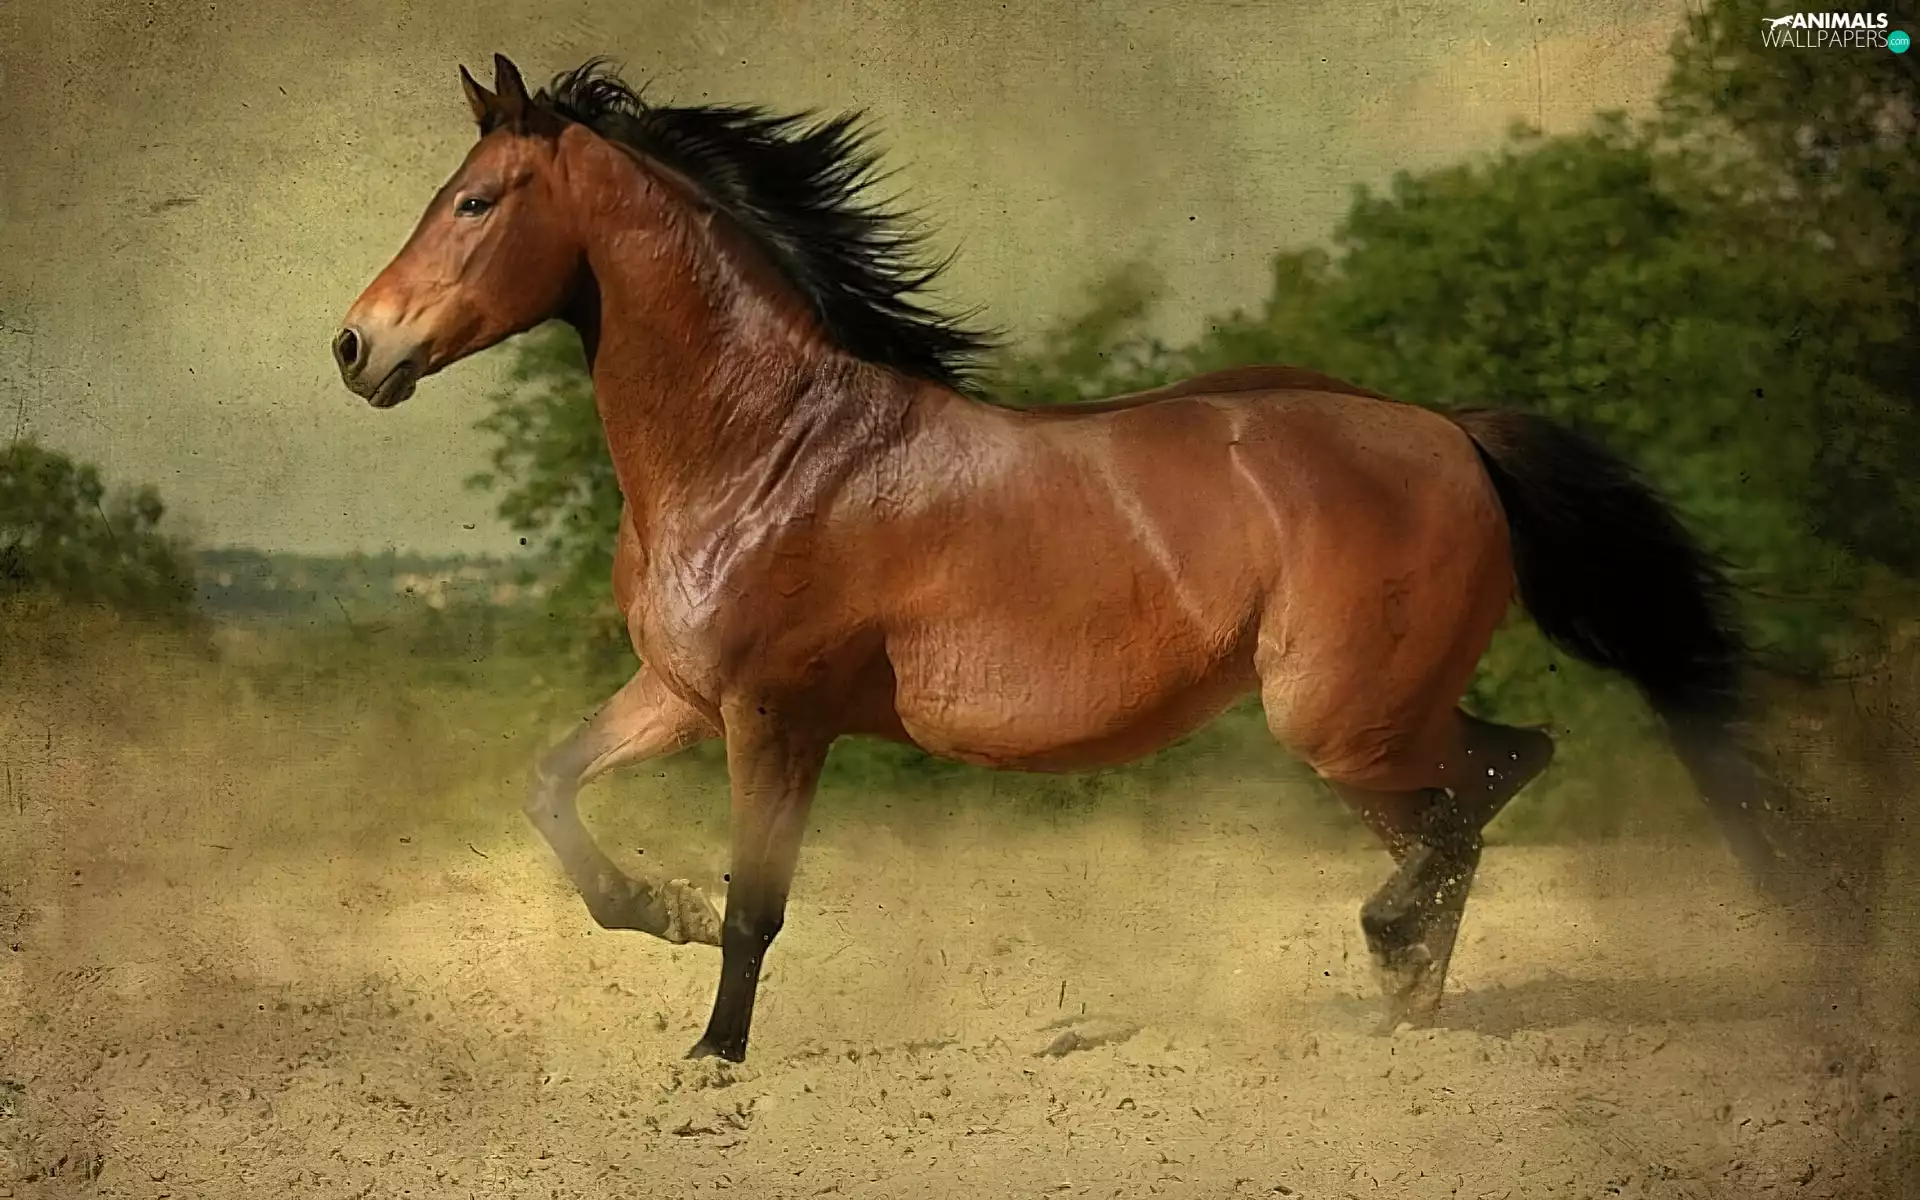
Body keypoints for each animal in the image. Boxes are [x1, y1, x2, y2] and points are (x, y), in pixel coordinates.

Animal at [332, 54, 1803, 1063]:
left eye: (475, 201)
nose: (356, 346)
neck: (769, 448)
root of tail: (1449, 431)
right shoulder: (683, 697)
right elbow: (551, 792)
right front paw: (665, 908)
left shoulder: (774, 716)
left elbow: (762, 903)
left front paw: (713, 1050)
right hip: (1372, 727)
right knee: (1466, 804)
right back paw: (1406, 1005)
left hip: (1339, 715)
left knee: (1497, 781)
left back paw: (1390, 964)